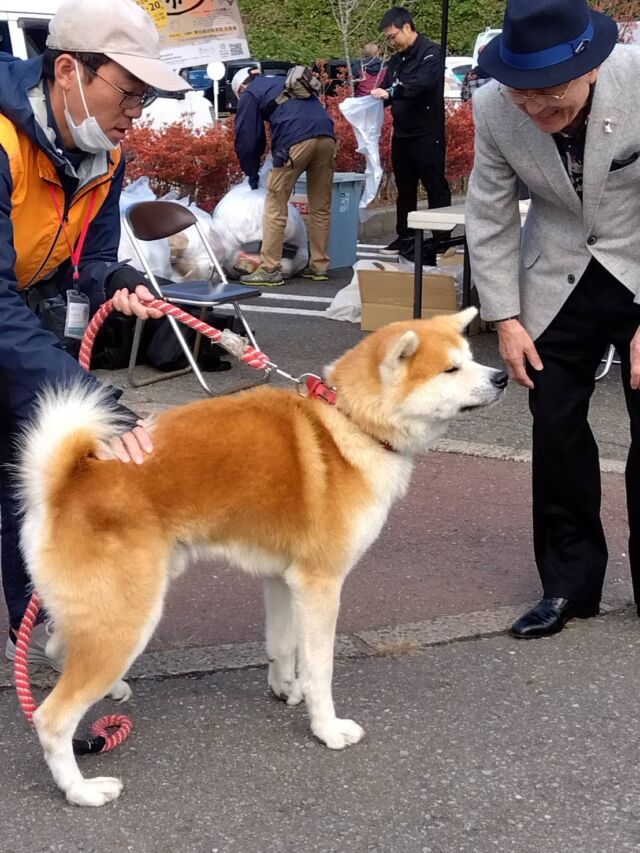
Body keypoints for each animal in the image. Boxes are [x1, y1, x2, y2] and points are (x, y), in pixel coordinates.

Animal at [18, 308, 504, 804]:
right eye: (450, 369)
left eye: (469, 358)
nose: (503, 376)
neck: (348, 422)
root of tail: (65, 484)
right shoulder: (320, 584)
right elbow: (320, 669)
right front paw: (326, 728)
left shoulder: (284, 579)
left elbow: (282, 646)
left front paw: (285, 689)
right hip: (128, 618)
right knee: (51, 718)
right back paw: (81, 789)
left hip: (107, 613)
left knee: (57, 646)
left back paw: (109, 690)